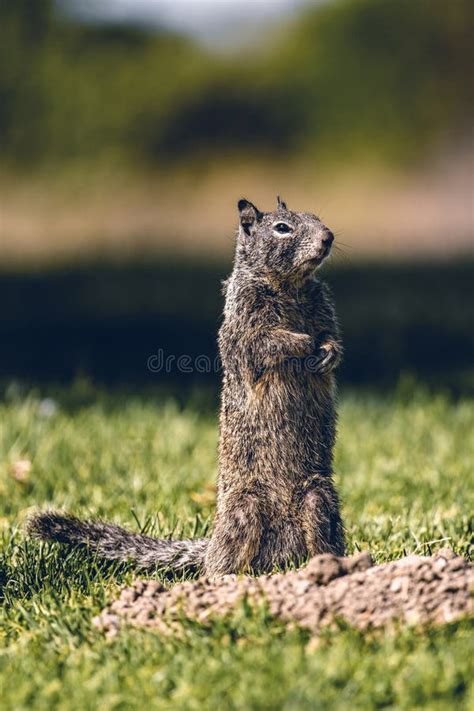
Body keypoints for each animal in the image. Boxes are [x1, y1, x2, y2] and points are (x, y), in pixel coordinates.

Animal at [27, 196, 344, 580]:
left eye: (316, 217)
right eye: (282, 227)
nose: (328, 237)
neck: (291, 287)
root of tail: (279, 559)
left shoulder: (323, 305)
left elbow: (330, 337)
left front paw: (326, 352)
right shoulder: (247, 322)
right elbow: (267, 342)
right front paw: (302, 342)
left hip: (320, 499)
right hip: (245, 509)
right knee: (222, 563)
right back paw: (223, 578)